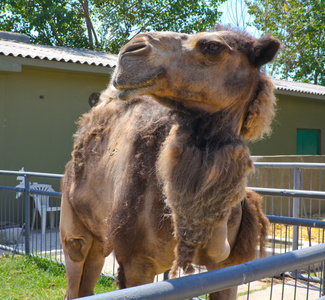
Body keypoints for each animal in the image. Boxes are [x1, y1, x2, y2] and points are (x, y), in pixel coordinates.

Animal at [60, 28, 278, 300]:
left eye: (212, 47)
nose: (132, 48)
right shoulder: (136, 262)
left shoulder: (231, 266)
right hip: (73, 220)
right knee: (76, 257)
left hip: (101, 233)